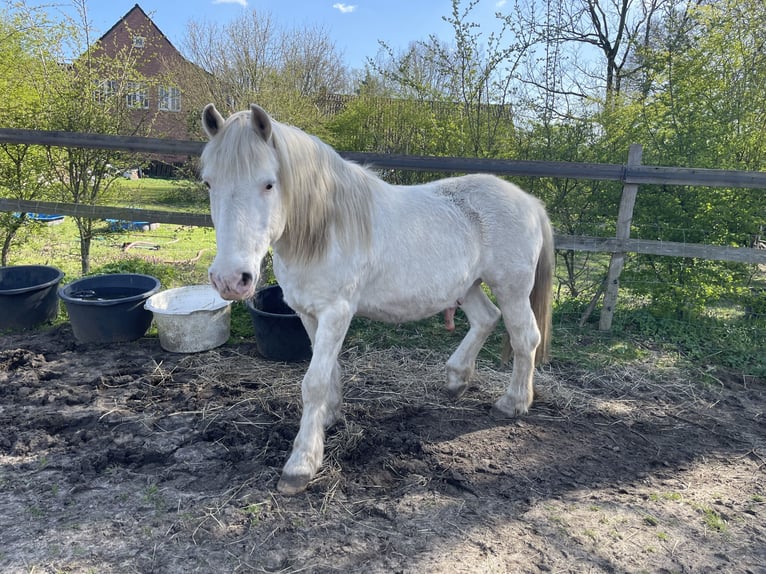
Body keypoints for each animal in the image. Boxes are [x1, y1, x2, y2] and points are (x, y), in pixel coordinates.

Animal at [200, 103, 554, 495]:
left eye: (268, 183)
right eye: (209, 183)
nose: (231, 279)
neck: (325, 229)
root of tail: (529, 202)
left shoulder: (336, 312)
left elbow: (313, 382)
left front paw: (301, 463)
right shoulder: (308, 313)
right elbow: (328, 371)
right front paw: (328, 418)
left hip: (511, 289)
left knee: (525, 338)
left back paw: (512, 403)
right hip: (468, 286)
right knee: (486, 318)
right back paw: (457, 379)